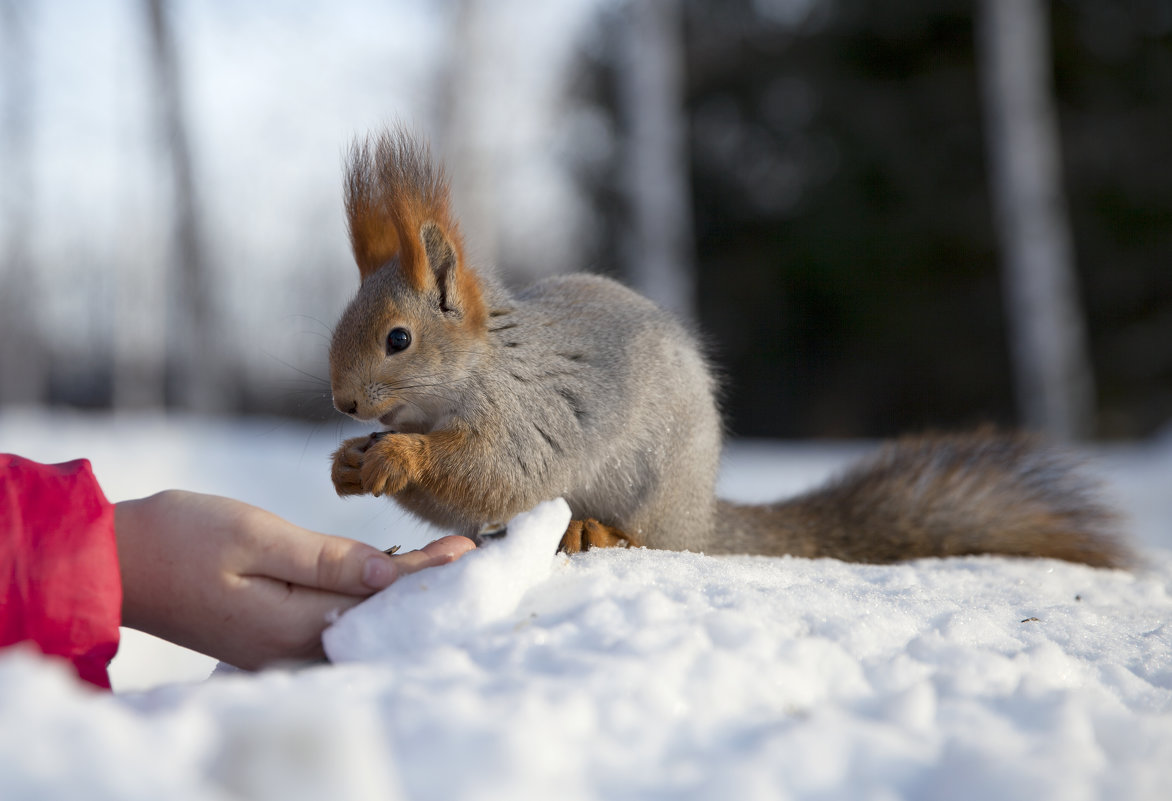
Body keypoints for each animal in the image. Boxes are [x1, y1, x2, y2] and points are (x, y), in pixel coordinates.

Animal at [325, 128, 1129, 567]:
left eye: (398, 339)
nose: (344, 403)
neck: (484, 364)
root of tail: (706, 515)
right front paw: (348, 462)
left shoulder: (535, 412)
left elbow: (496, 473)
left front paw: (397, 457)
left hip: (653, 494)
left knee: (649, 538)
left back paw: (594, 529)